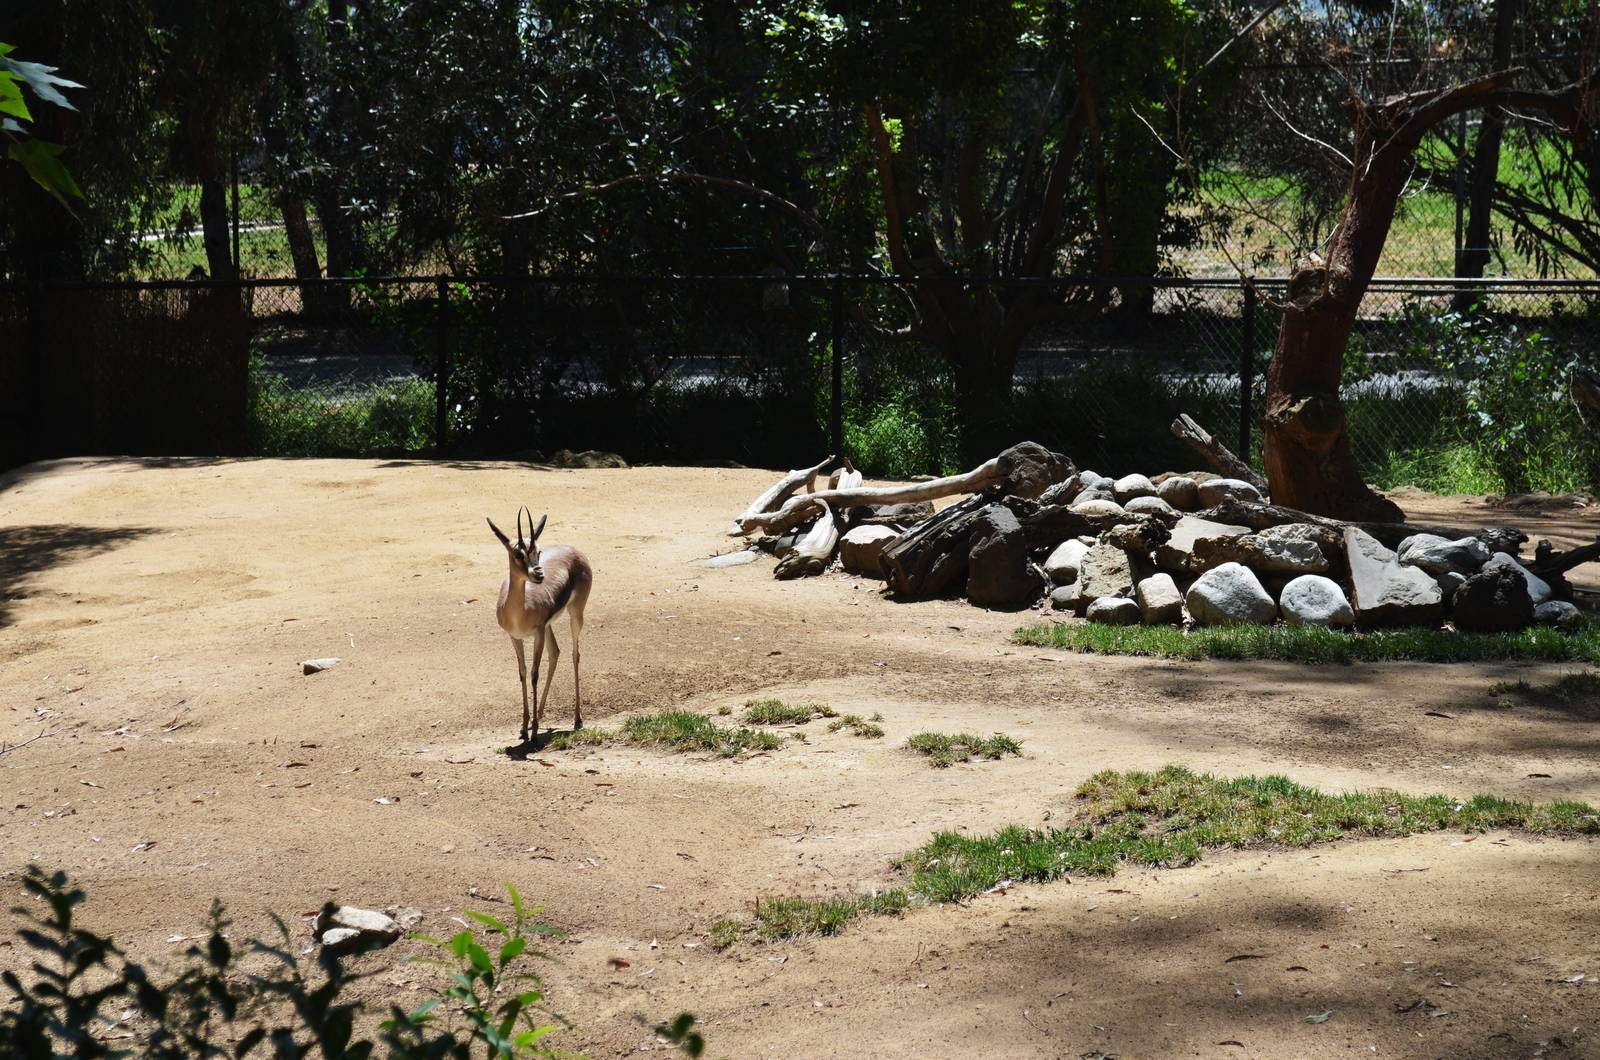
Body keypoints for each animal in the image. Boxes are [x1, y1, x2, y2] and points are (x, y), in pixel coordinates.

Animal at [486, 507, 593, 744]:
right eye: (518, 554)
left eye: (538, 551)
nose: (539, 574)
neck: (520, 613)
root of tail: (574, 550)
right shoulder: (515, 637)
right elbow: (523, 673)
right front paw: (524, 727)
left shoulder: (538, 633)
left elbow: (535, 674)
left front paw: (533, 732)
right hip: (550, 626)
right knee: (555, 653)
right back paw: (541, 714)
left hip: (575, 614)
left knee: (575, 655)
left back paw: (577, 719)